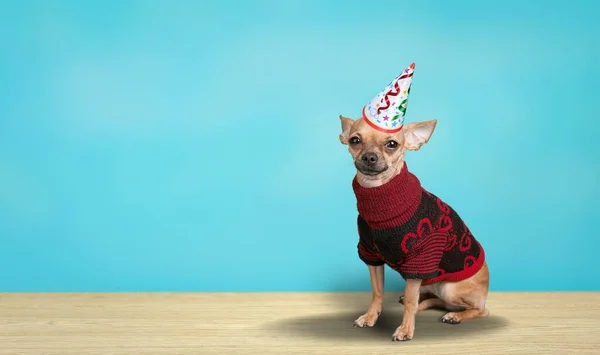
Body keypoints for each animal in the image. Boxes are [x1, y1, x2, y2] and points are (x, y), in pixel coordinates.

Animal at [338, 114, 488, 342]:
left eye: (392, 144)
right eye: (355, 140)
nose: (369, 157)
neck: (380, 198)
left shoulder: (419, 260)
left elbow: (410, 299)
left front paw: (405, 330)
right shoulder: (371, 255)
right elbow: (377, 291)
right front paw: (371, 316)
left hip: (450, 288)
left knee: (478, 309)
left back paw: (454, 316)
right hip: (431, 282)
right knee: (436, 299)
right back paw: (425, 304)